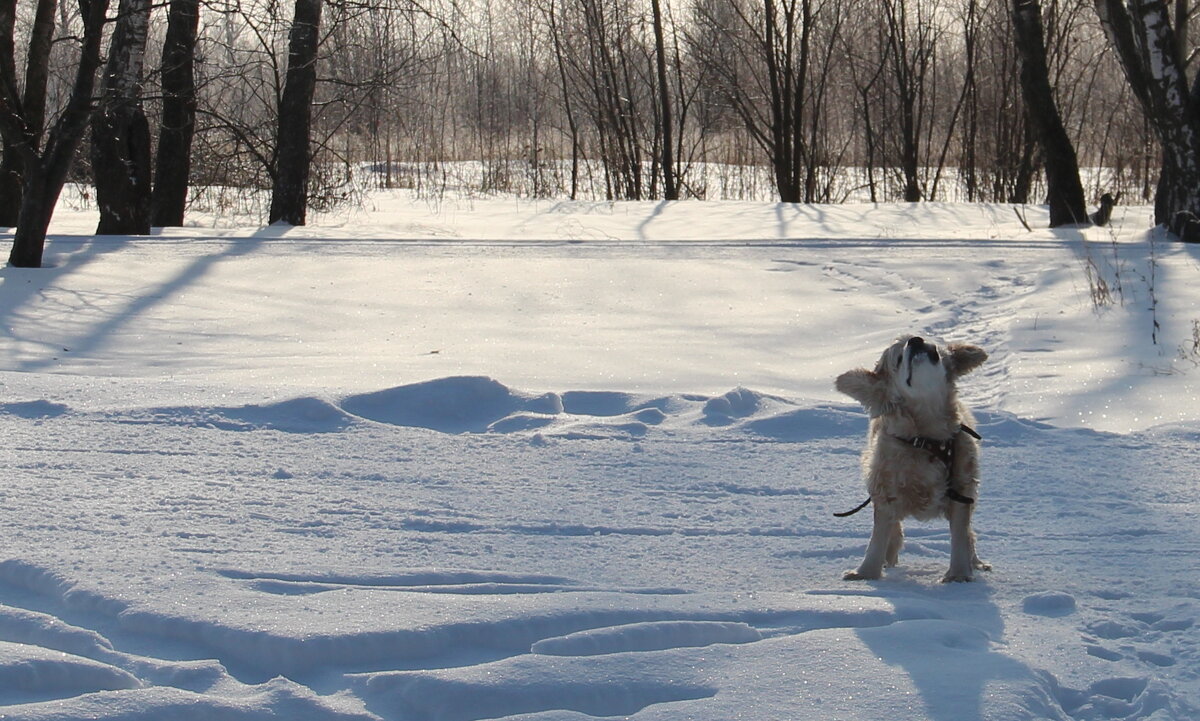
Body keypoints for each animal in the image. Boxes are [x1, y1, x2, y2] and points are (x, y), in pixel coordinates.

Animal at [835, 333, 993, 583]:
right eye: (898, 358)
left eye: (927, 341)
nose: (916, 341)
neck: (927, 439)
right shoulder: (885, 489)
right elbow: (878, 536)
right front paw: (866, 574)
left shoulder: (962, 489)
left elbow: (960, 535)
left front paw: (959, 575)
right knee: (894, 530)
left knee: (969, 534)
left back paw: (976, 562)